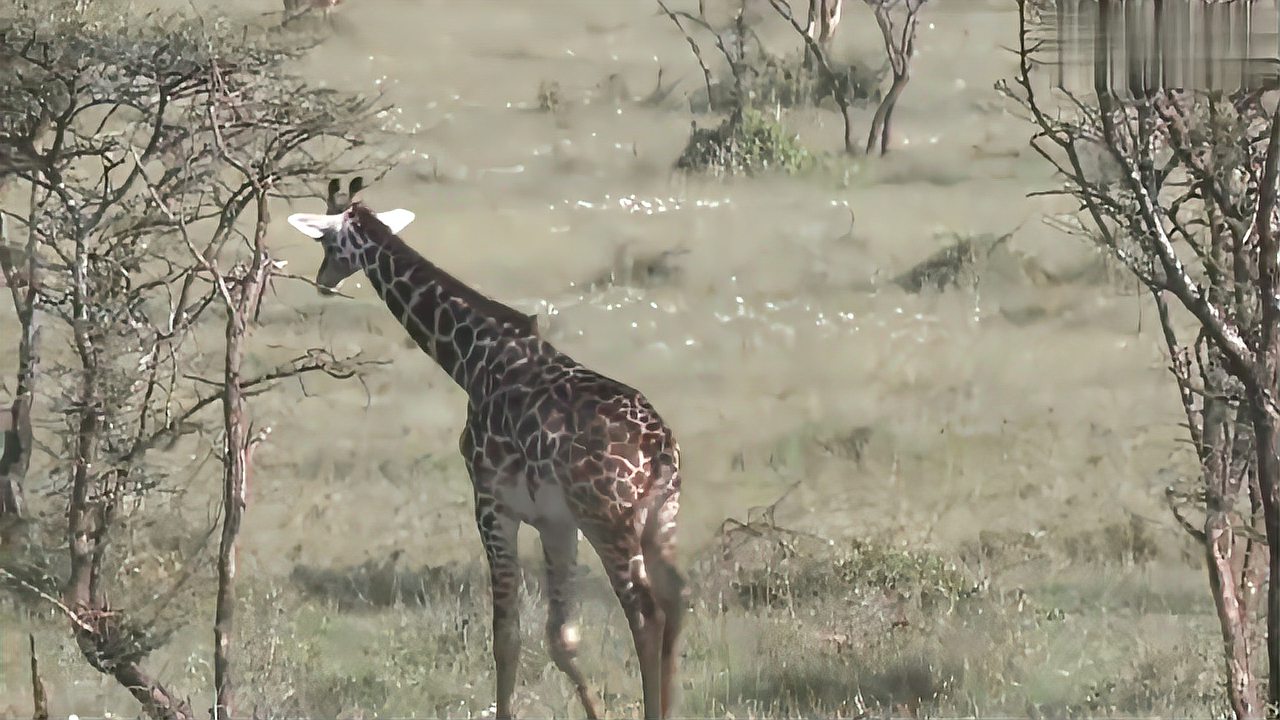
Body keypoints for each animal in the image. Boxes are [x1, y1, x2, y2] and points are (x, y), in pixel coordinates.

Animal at [286, 179, 696, 717]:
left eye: (326, 242)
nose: (322, 280)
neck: (474, 357)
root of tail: (659, 449)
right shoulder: (556, 521)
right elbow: (561, 637)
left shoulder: (492, 504)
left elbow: (506, 637)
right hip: (660, 517)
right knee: (677, 599)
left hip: (610, 521)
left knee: (646, 613)